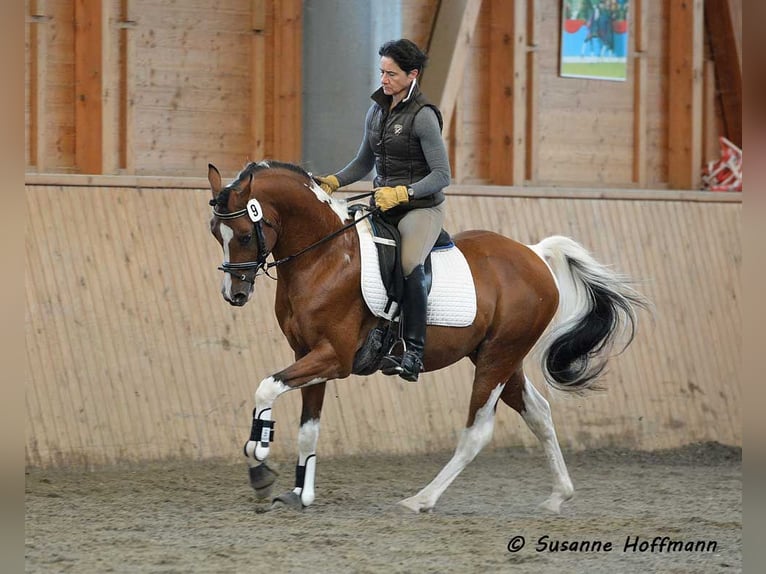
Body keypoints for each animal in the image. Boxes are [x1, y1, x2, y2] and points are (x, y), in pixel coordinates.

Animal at [206, 160, 648, 513]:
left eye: (243, 235)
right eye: (215, 232)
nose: (234, 295)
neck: (325, 257)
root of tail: (534, 253)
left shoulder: (334, 357)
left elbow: (266, 387)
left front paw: (259, 460)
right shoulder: (308, 354)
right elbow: (307, 427)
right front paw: (299, 493)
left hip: (498, 358)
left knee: (477, 433)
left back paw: (421, 499)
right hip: (499, 357)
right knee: (538, 413)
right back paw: (558, 496)